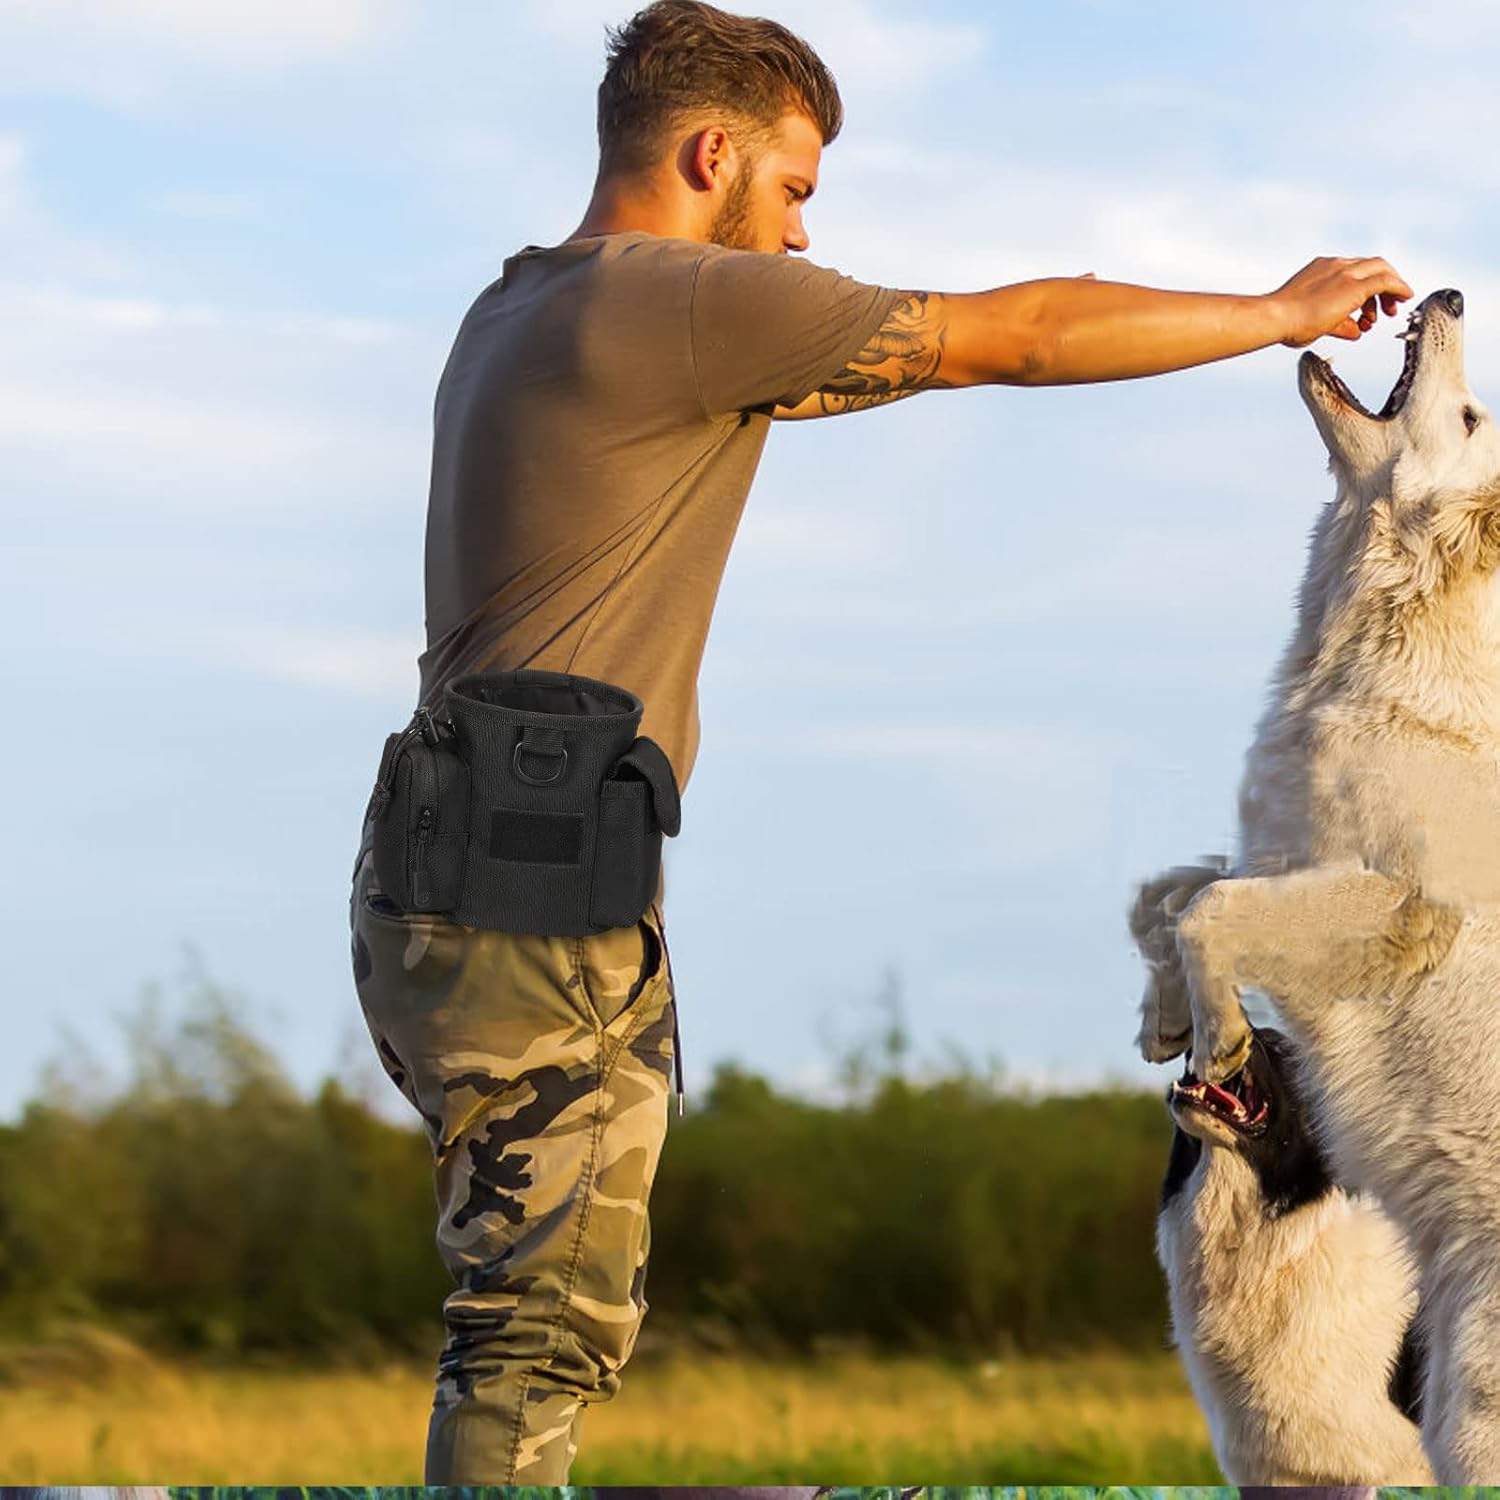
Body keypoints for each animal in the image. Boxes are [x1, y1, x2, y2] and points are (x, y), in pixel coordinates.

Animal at [1128, 286, 1500, 1482]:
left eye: (1469, 418)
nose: (1451, 294)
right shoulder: (1282, 849)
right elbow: (1168, 893)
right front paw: (1165, 1018)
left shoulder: (1385, 908)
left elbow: (1208, 909)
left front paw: (1220, 1037)